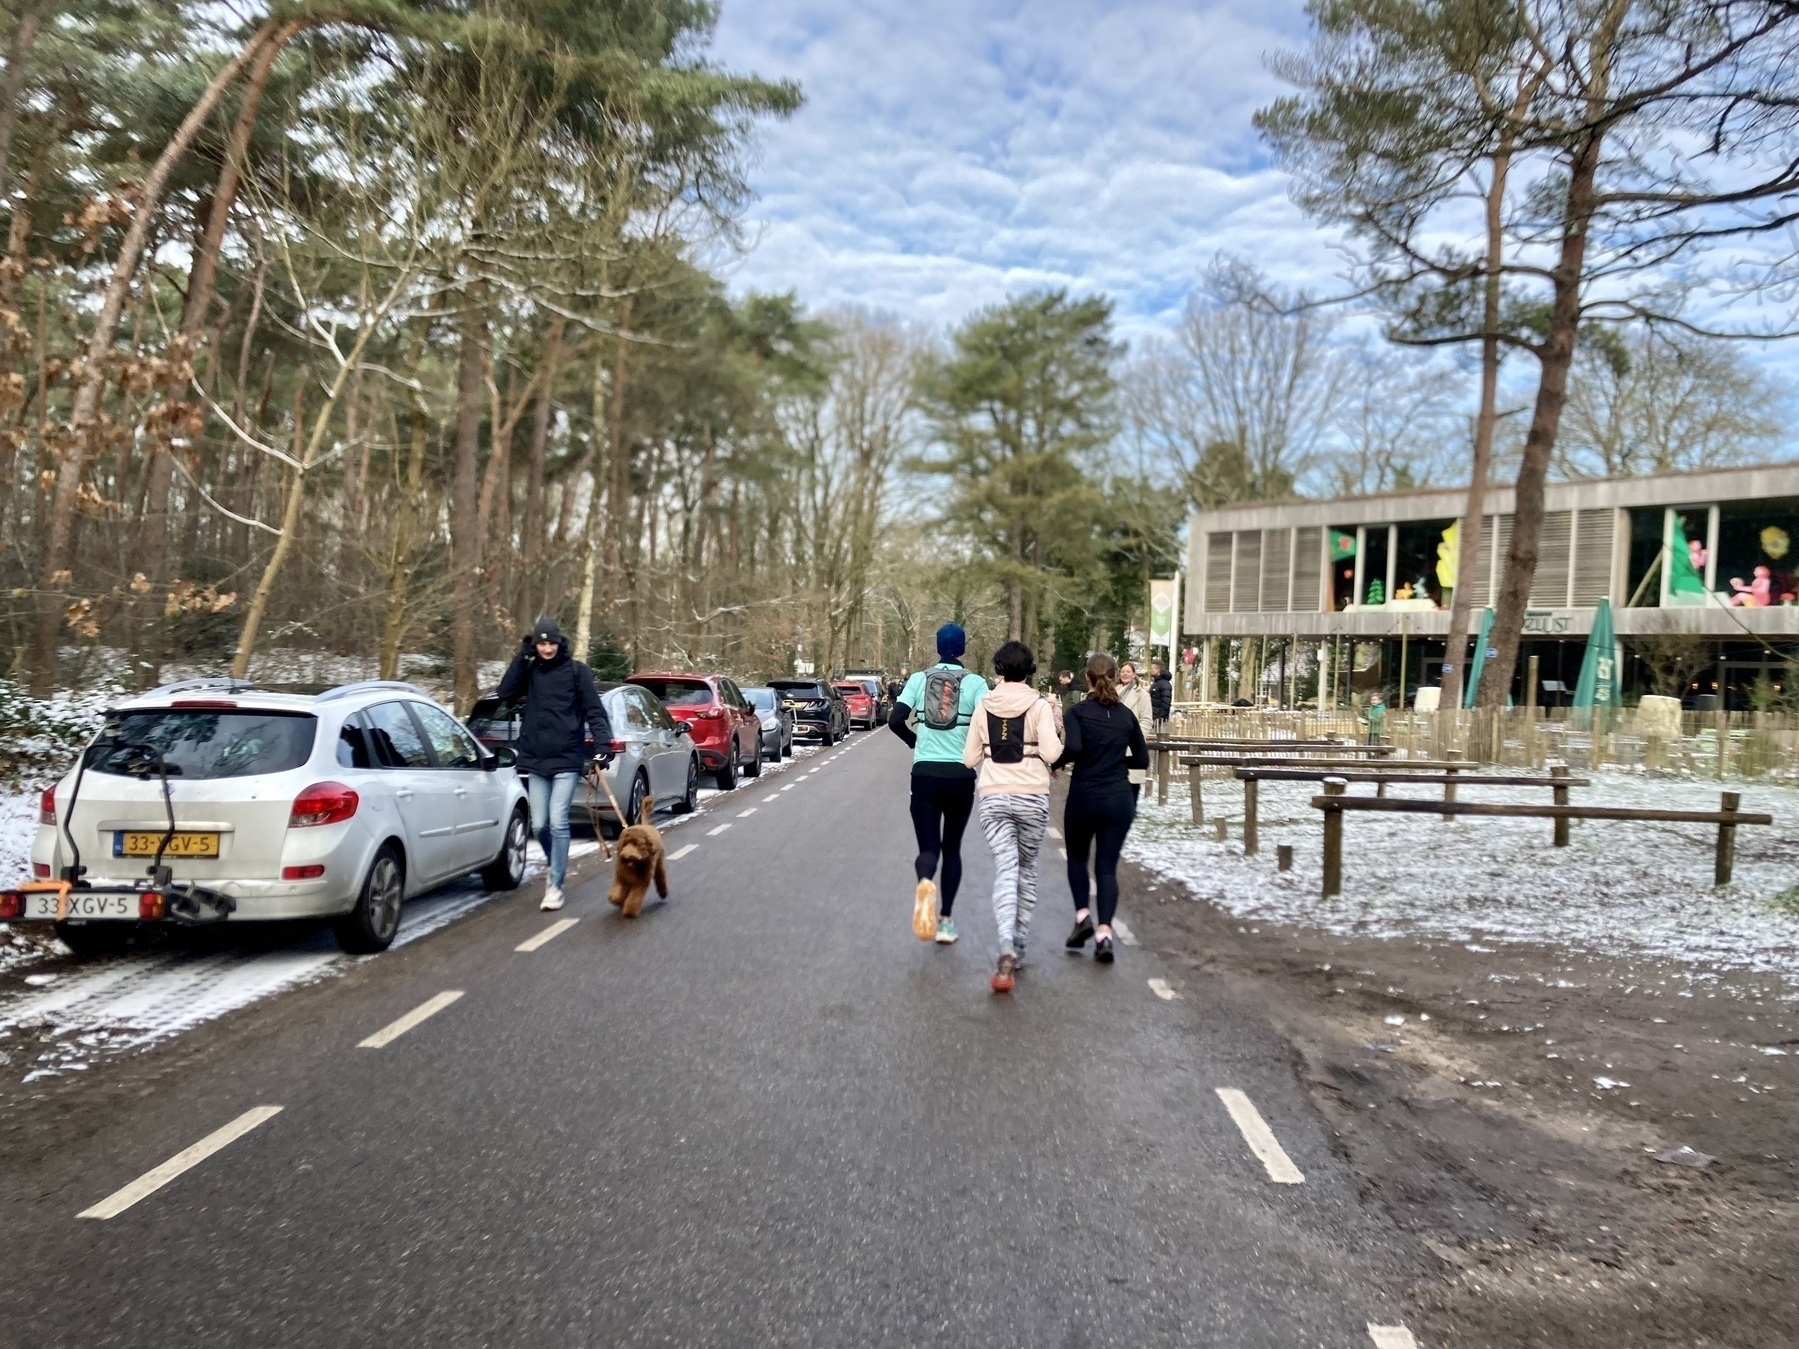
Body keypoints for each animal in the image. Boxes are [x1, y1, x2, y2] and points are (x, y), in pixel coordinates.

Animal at [604, 791, 669, 920]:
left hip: (658, 862)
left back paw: (663, 892)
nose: (626, 854)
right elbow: (617, 890)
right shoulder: (621, 877)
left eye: (637, 844)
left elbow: (635, 897)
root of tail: (646, 825)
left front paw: (629, 911)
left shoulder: (641, 881)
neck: (633, 864)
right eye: (625, 843)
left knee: (660, 876)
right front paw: (615, 899)